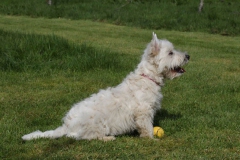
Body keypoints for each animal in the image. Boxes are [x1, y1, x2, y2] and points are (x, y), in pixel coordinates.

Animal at [22, 32, 189, 141]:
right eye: (171, 53)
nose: (188, 56)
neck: (148, 77)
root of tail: (65, 126)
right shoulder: (143, 111)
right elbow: (147, 127)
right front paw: (152, 139)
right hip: (96, 122)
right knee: (85, 136)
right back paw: (108, 138)